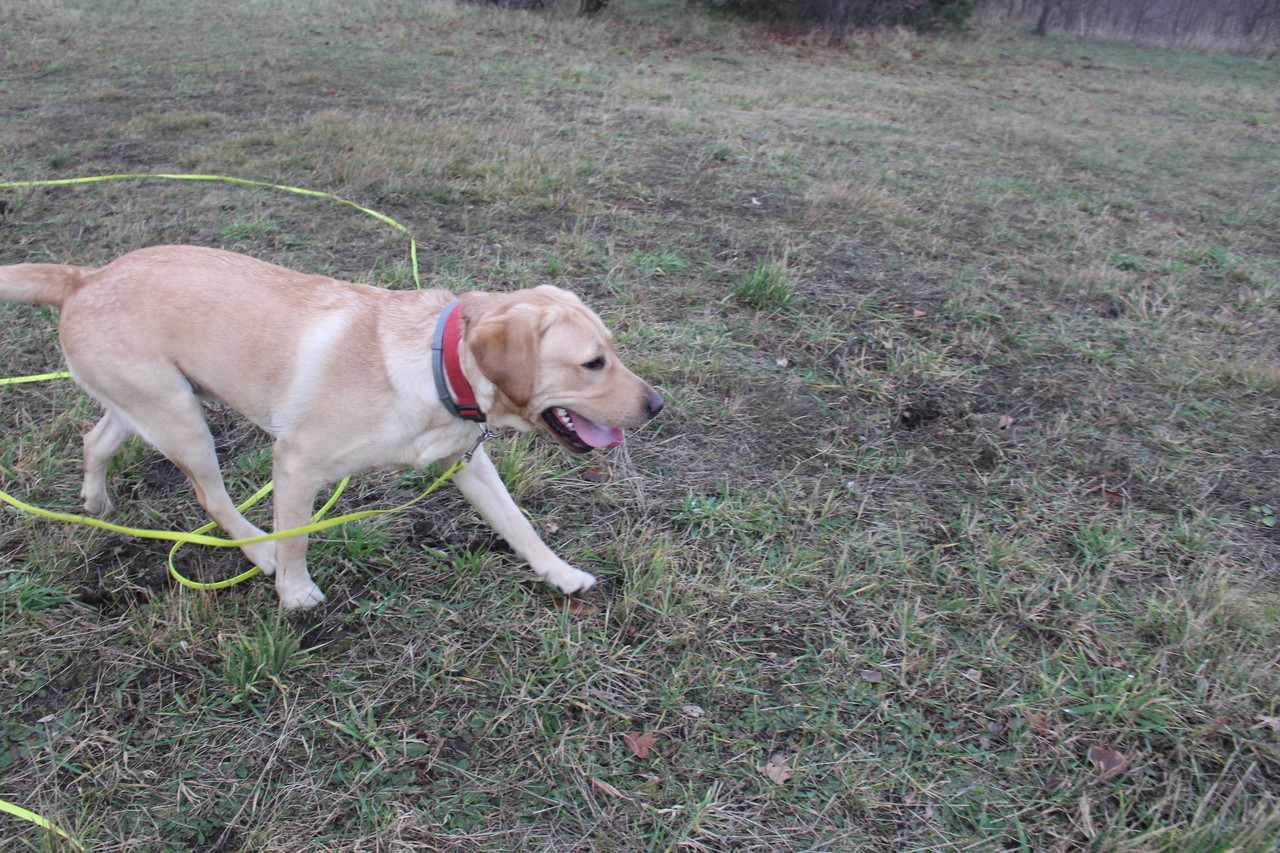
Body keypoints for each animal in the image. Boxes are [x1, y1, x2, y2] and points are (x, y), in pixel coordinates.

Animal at [0, 245, 663, 608]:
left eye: (611, 351)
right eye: (593, 364)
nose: (658, 404)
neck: (437, 366)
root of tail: (85, 277)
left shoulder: (467, 462)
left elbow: (520, 526)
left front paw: (561, 574)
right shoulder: (296, 464)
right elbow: (295, 538)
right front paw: (294, 593)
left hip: (152, 403)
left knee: (95, 439)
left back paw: (96, 503)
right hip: (184, 421)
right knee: (214, 499)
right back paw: (258, 554)